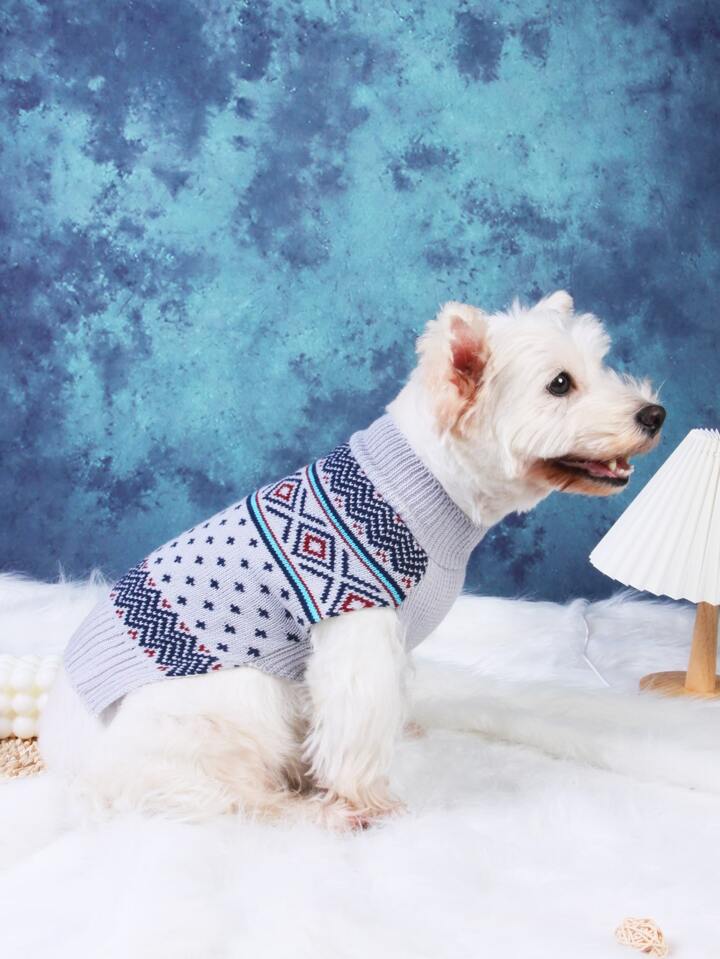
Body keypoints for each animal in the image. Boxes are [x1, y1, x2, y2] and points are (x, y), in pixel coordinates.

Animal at [39, 291, 665, 827]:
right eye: (560, 384)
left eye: (600, 366)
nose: (655, 414)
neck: (427, 483)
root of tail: (68, 749)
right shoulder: (357, 632)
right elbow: (356, 728)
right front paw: (366, 801)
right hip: (230, 710)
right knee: (228, 794)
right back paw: (303, 809)